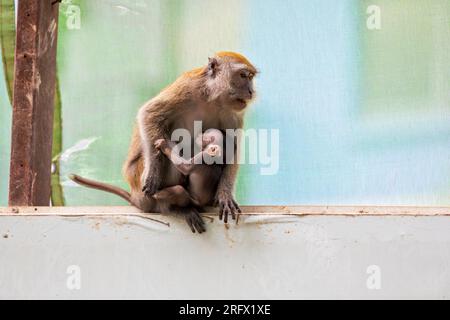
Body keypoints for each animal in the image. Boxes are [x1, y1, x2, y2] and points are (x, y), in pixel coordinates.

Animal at [71, 52, 256, 232]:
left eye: (250, 77)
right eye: (243, 75)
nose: (251, 91)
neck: (212, 98)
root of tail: (136, 197)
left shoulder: (232, 114)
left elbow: (233, 147)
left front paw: (225, 194)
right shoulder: (186, 88)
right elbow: (149, 114)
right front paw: (153, 172)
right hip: (139, 182)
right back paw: (173, 207)